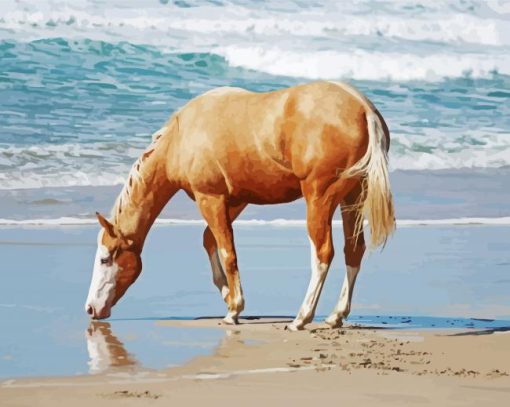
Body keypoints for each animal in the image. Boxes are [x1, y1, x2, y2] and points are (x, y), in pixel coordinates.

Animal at [84, 80, 394, 332]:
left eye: (105, 259)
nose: (90, 308)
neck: (182, 136)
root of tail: (363, 108)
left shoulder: (210, 198)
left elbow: (227, 252)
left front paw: (234, 309)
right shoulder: (235, 200)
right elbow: (210, 241)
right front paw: (227, 295)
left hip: (320, 198)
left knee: (322, 253)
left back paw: (301, 318)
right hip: (353, 197)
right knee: (353, 250)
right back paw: (335, 316)